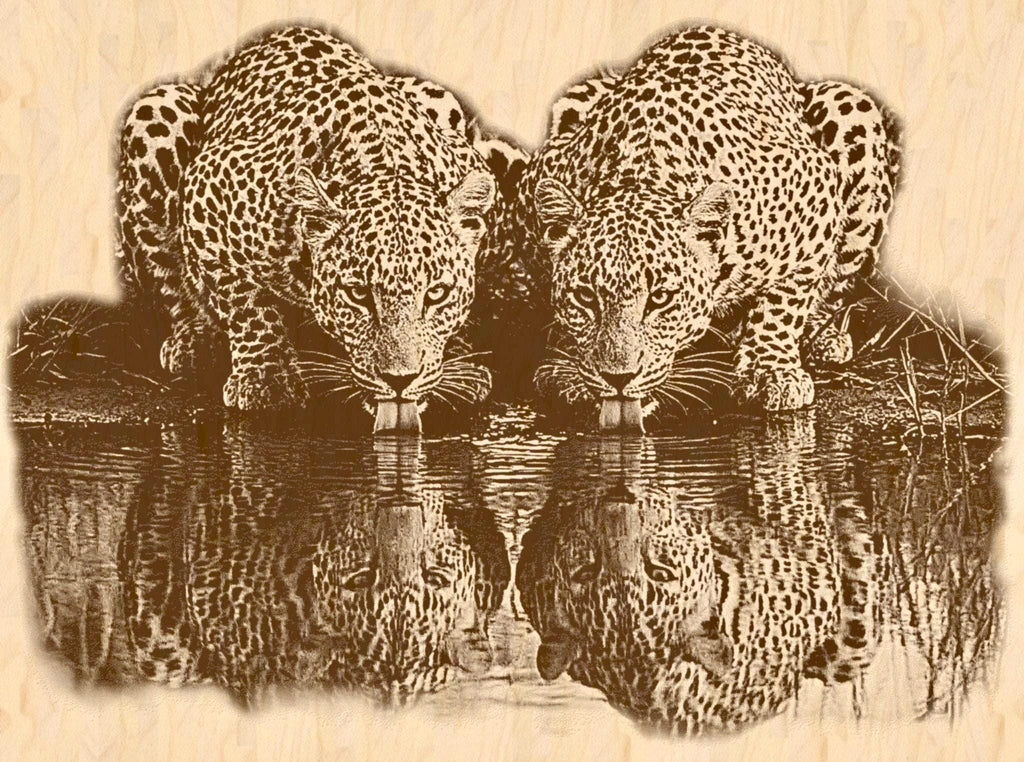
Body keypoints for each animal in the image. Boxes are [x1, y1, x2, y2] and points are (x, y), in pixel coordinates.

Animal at [115, 24, 527, 432]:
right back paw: (193, 341)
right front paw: (265, 378)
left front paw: (458, 359)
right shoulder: (209, 185)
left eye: (437, 293)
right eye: (358, 294)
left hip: (439, 96)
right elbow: (243, 299)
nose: (400, 380)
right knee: (168, 277)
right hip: (153, 113)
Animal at [512, 24, 901, 431]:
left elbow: (786, 299)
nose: (618, 378)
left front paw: (771, 370)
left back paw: (823, 338)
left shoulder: (814, 189)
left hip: (855, 112)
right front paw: (570, 369)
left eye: (660, 298)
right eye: (586, 297)